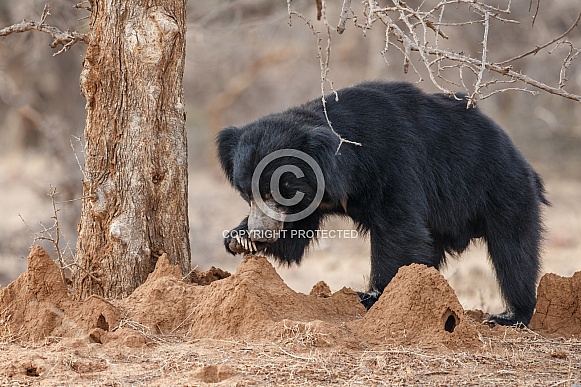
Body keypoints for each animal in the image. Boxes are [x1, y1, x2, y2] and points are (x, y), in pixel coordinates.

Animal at [215, 82, 548, 328]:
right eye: (247, 193)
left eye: (279, 192)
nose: (261, 233)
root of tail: (522, 160)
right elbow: (295, 235)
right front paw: (239, 240)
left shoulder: (392, 161)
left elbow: (398, 228)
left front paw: (372, 296)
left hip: (501, 190)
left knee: (514, 253)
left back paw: (510, 316)